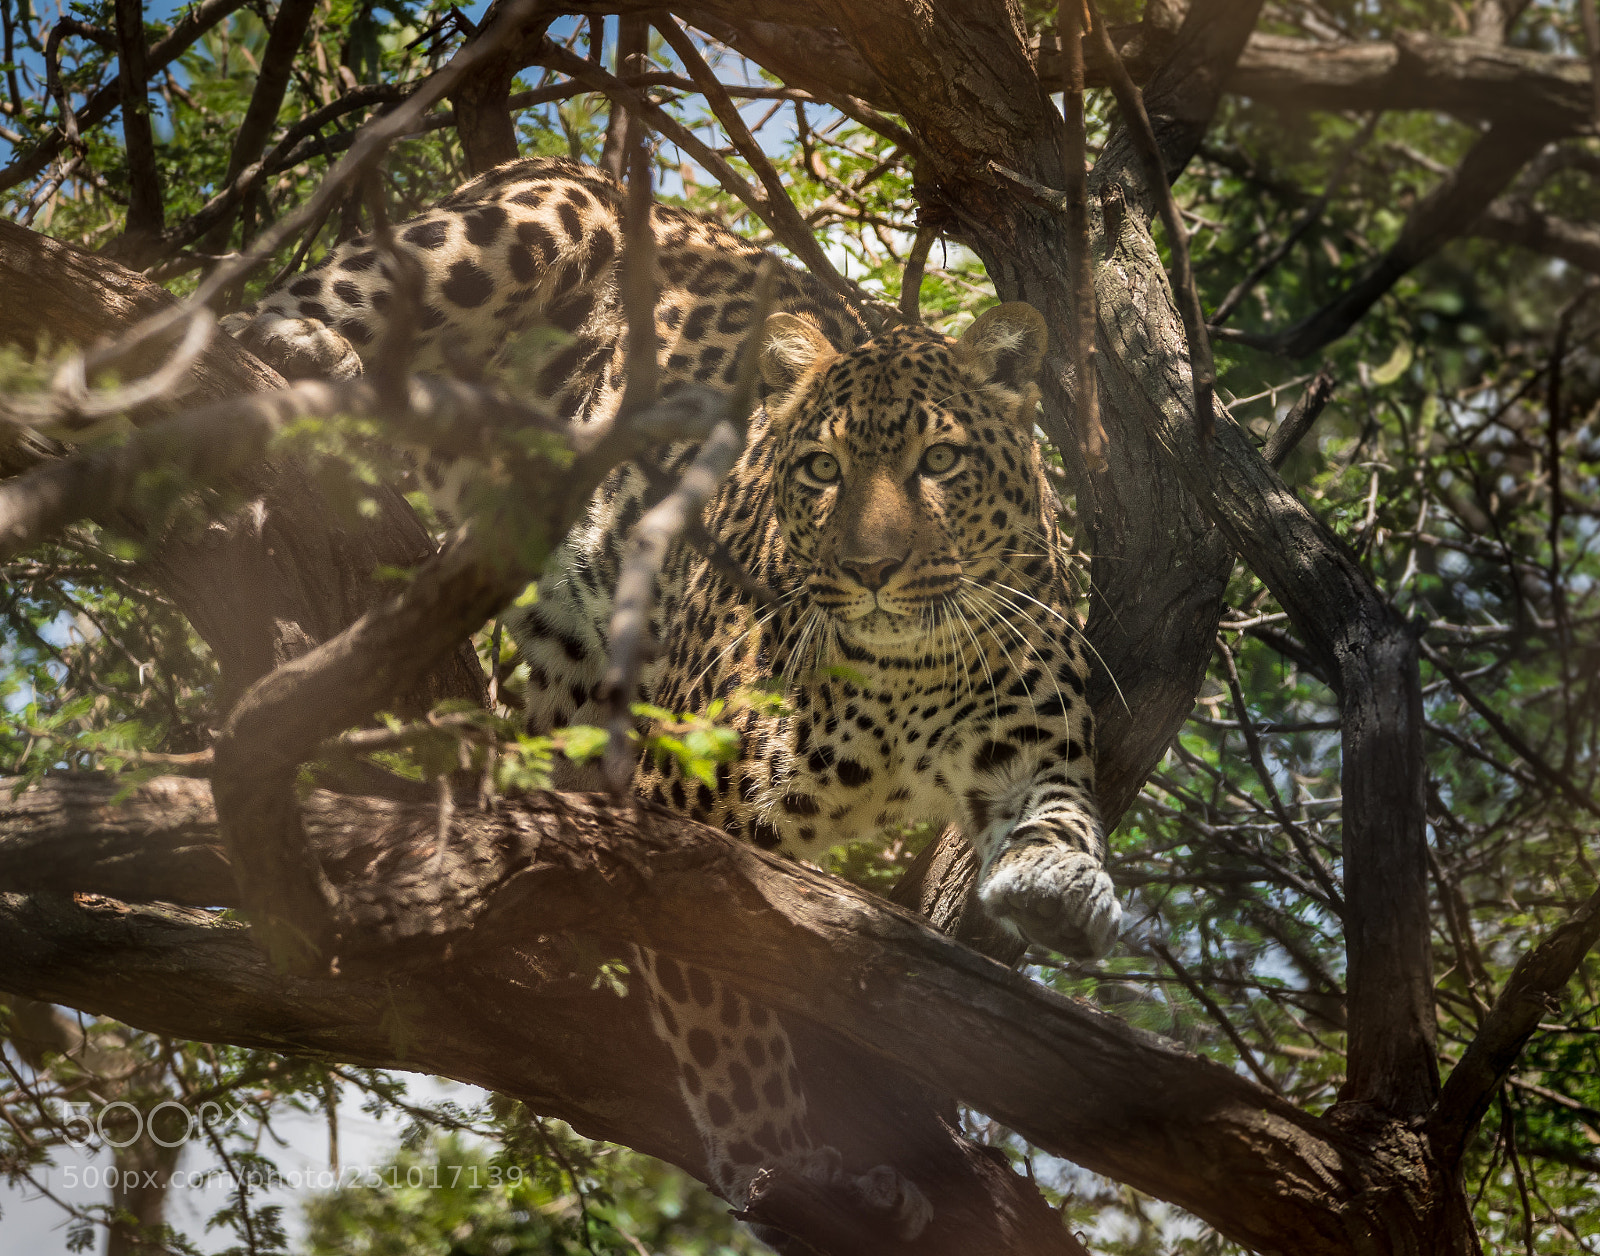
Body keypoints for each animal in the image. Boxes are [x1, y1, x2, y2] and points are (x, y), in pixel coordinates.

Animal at [226, 155, 1122, 1241]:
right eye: (820, 470)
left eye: (939, 462)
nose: (870, 569)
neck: (909, 672)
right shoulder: (686, 814)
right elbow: (721, 1008)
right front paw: (782, 1157)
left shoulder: (1033, 738)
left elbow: (1061, 810)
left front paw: (1060, 886)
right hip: (508, 228)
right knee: (266, 306)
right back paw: (303, 347)